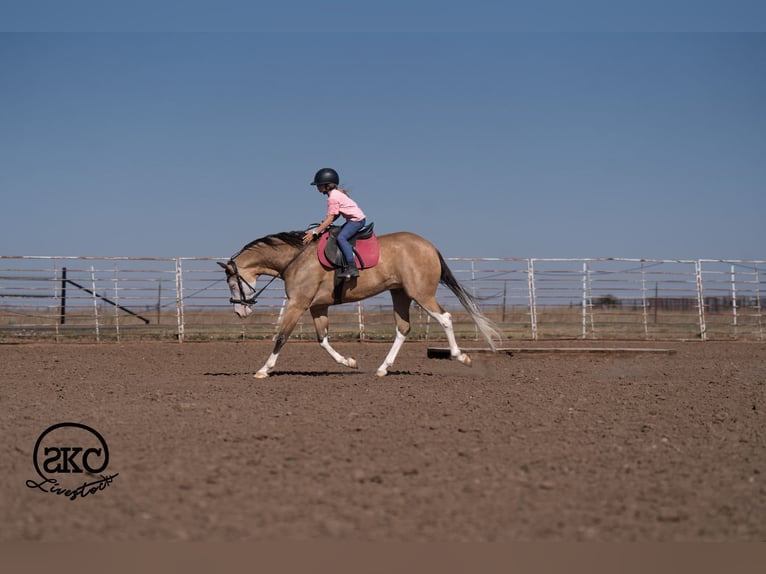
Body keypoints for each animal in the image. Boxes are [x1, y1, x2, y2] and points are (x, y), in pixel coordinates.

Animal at [218, 230, 501, 378]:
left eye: (232, 283)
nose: (239, 311)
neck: (296, 259)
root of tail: (429, 246)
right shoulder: (317, 307)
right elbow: (322, 339)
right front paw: (350, 362)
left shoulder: (298, 304)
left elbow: (282, 336)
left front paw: (263, 370)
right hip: (400, 294)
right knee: (403, 328)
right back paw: (382, 369)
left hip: (421, 294)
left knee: (445, 318)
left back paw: (461, 357)